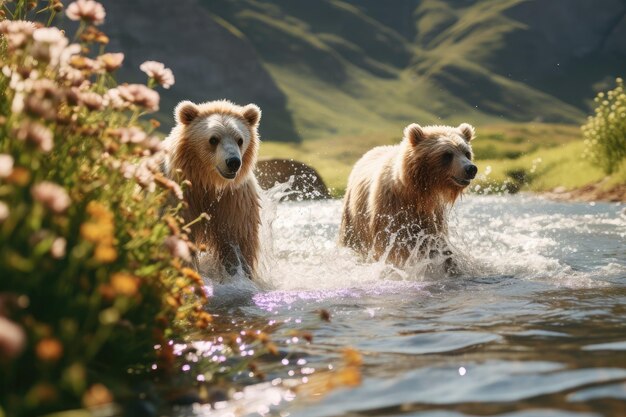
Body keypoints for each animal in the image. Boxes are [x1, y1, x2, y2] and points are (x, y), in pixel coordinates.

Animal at [163, 99, 260, 278]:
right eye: (213, 139)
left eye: (240, 139)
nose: (233, 162)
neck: (209, 183)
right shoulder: (179, 195)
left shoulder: (233, 200)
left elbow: (238, 240)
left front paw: (239, 273)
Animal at [338, 122, 476, 266]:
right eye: (447, 154)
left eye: (466, 153)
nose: (471, 168)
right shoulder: (391, 208)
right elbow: (393, 244)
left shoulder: (432, 214)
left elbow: (435, 242)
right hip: (353, 218)